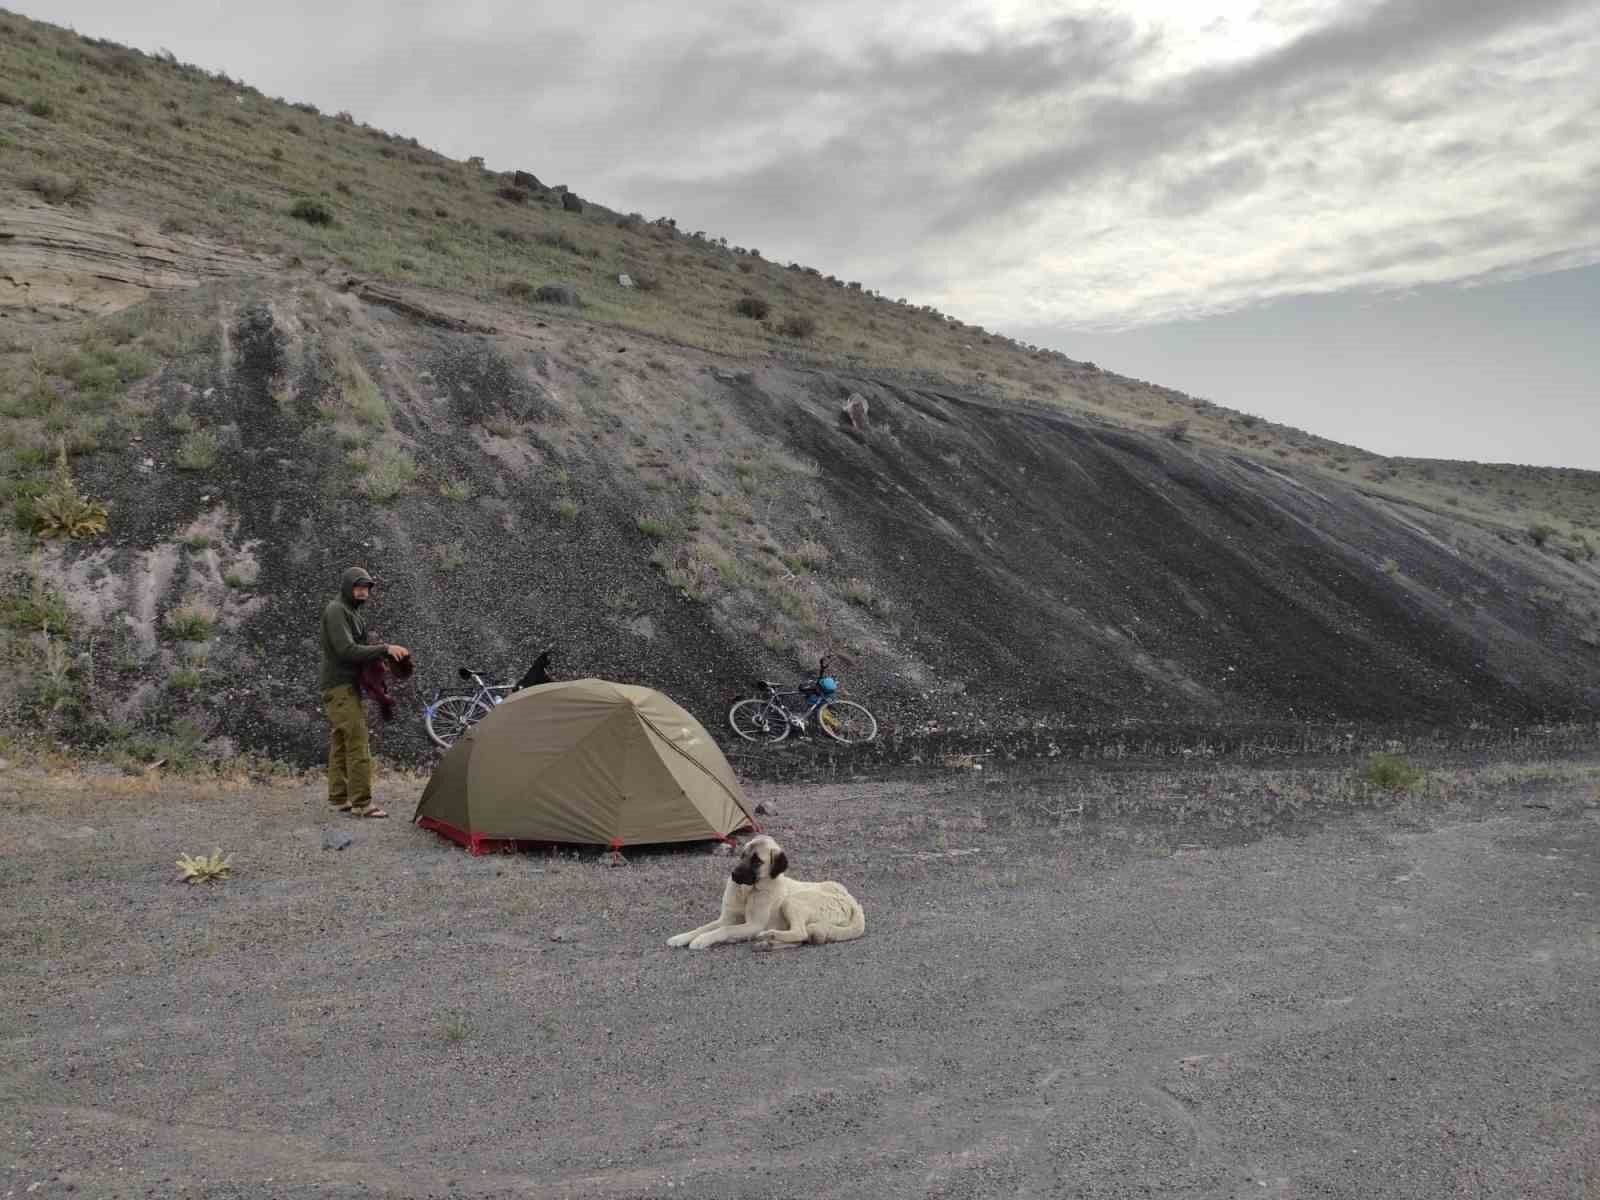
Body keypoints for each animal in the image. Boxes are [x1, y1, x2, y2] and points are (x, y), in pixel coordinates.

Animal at [662, 838, 864, 953]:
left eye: (757, 861)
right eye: (742, 855)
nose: (733, 874)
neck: (747, 891)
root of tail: (851, 900)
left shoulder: (752, 925)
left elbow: (724, 930)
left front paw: (702, 940)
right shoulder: (726, 918)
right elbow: (703, 927)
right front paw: (681, 937)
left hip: (792, 902)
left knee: (800, 932)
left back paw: (768, 935)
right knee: (802, 938)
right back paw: (767, 944)